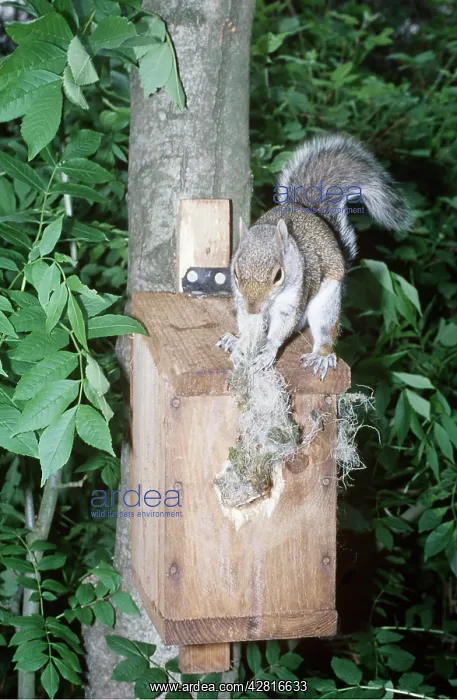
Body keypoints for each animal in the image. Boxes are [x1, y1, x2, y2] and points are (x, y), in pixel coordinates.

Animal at [217, 133, 412, 379]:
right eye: (235, 271)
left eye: (278, 275)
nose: (254, 308)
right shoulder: (243, 302)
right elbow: (249, 327)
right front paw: (242, 345)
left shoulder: (293, 301)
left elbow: (281, 330)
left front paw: (268, 351)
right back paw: (233, 340)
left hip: (326, 305)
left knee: (325, 332)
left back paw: (321, 356)